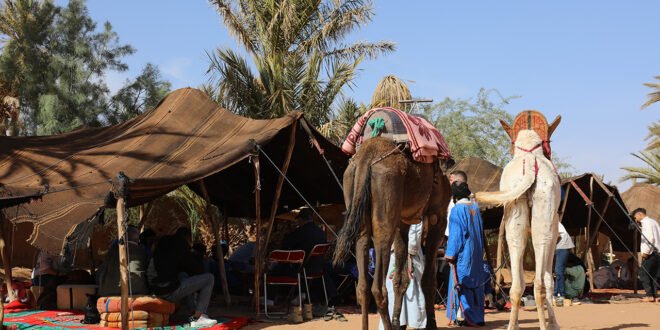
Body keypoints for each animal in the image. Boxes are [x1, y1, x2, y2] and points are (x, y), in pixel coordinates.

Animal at [332, 137, 452, 330]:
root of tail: (366, 158)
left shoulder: (403, 221)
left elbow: (401, 277)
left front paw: (398, 322)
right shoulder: (438, 217)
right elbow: (428, 280)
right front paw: (431, 324)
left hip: (354, 193)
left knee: (363, 285)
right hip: (387, 196)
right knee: (378, 288)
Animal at [474, 129, 564, 330]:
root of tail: (530, 164)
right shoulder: (555, 235)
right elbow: (549, 279)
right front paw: (554, 323)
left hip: (514, 211)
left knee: (517, 283)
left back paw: (512, 325)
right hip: (545, 214)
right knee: (540, 282)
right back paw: (544, 325)